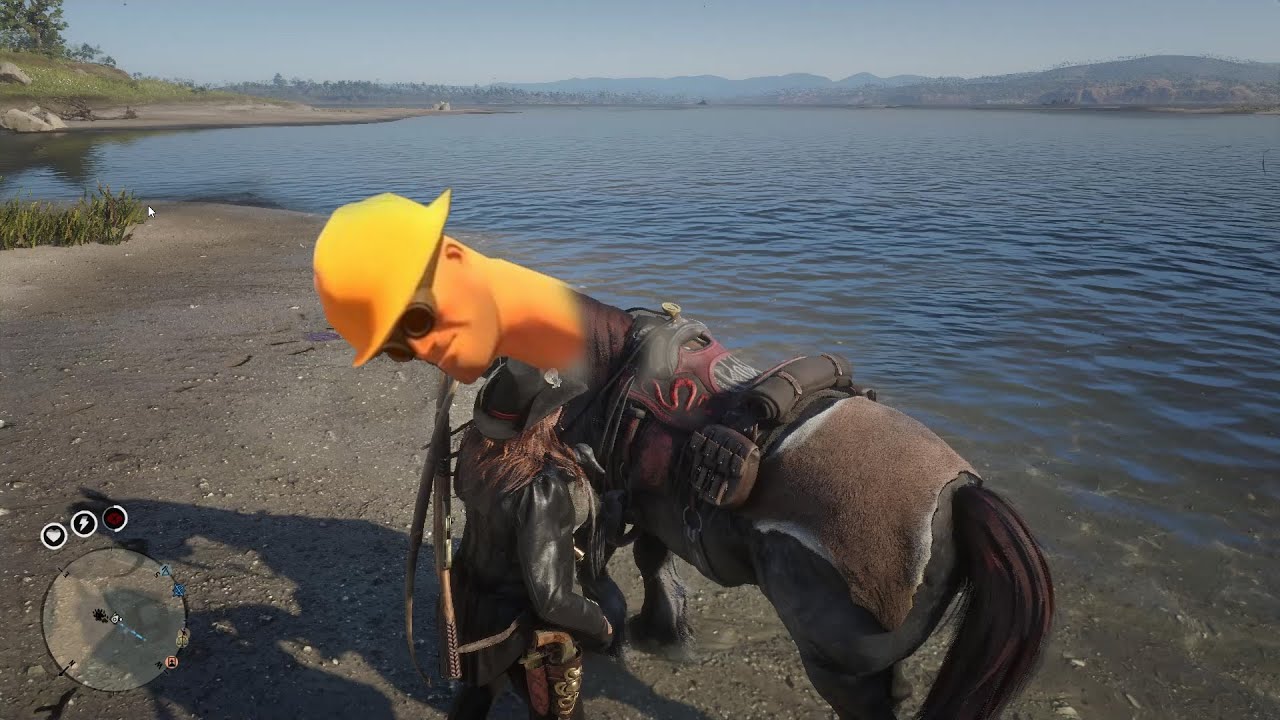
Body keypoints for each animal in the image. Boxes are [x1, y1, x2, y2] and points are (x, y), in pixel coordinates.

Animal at [492, 293, 1056, 720]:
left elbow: (618, 565)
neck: (610, 370)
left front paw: (634, 634)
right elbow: (653, 562)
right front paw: (664, 632)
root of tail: (960, 494)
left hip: (836, 663)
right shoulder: (649, 508)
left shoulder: (614, 499)